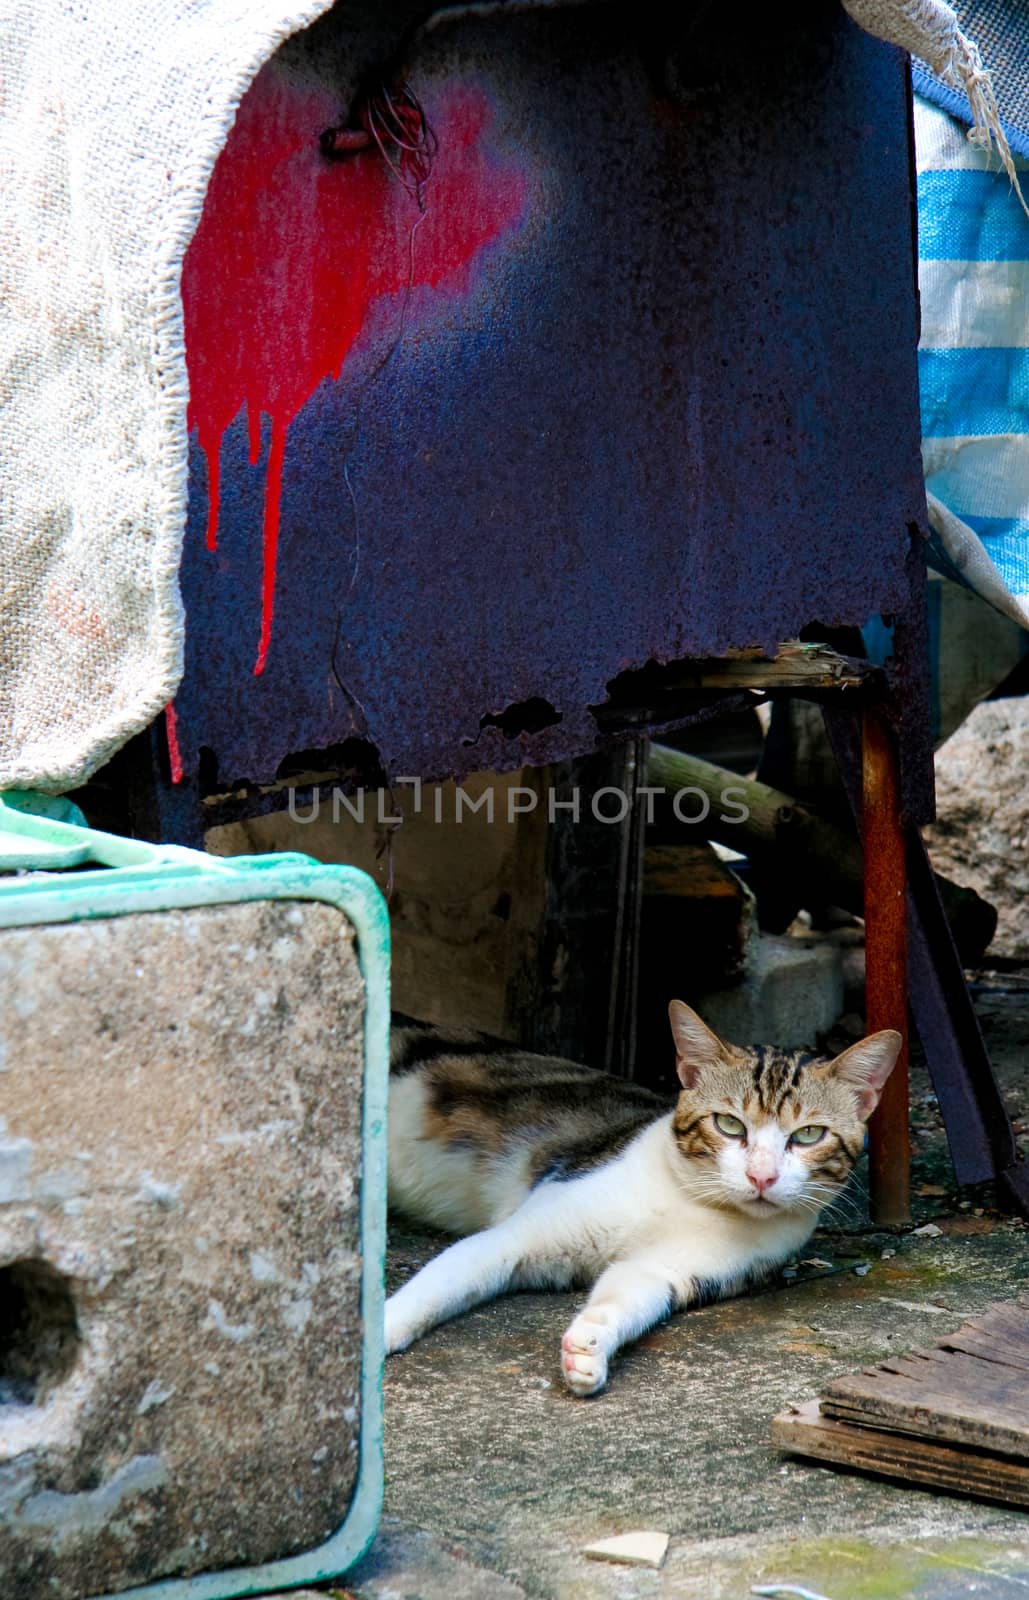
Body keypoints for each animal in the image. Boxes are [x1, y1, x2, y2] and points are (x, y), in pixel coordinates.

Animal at [387, 1004, 902, 1395]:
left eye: (809, 1134)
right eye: (729, 1125)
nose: (762, 1175)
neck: (687, 1198)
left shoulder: (663, 1270)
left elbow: (624, 1296)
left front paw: (588, 1346)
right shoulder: (523, 1230)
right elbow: (445, 1278)